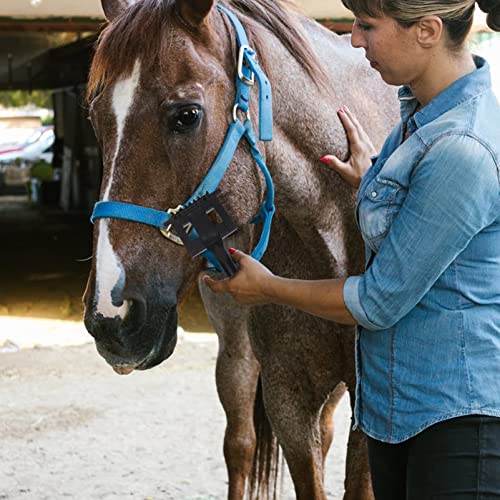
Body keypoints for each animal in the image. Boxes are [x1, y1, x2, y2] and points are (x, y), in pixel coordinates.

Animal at [83, 0, 398, 498]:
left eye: (187, 115)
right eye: (96, 120)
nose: (110, 317)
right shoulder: (289, 398)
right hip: (235, 350)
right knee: (241, 443)